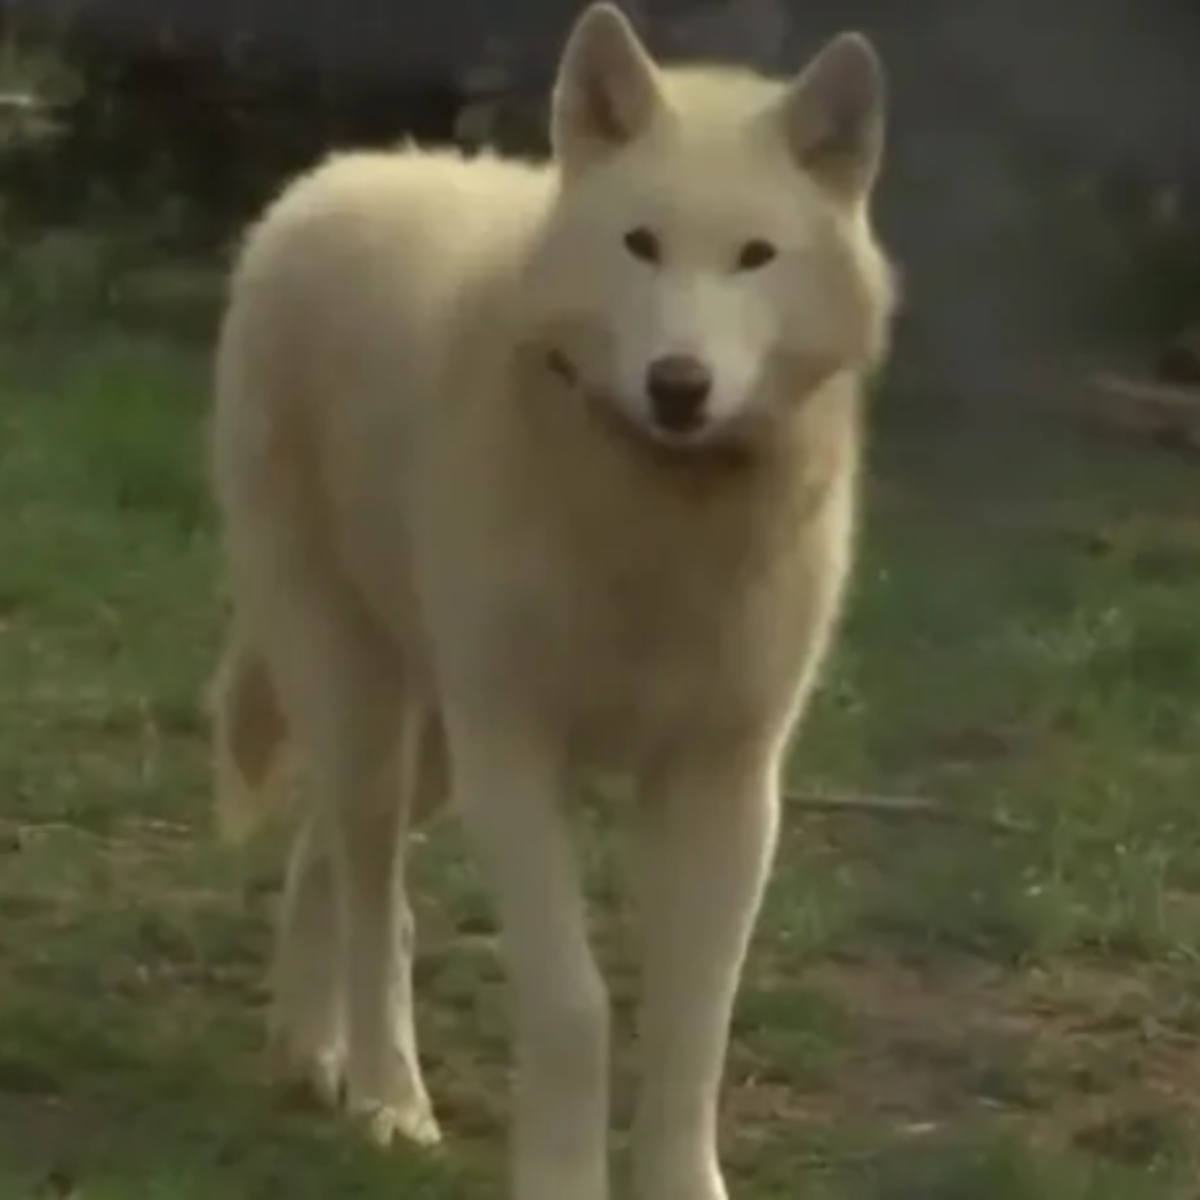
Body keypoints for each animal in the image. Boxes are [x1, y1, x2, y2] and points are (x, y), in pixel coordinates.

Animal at [211, 4, 897, 1195]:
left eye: (755, 256)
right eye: (641, 244)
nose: (678, 385)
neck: (661, 516)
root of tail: (327, 182)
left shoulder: (728, 784)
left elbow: (693, 1022)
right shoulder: (517, 759)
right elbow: (576, 1005)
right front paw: (562, 1178)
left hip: (429, 751)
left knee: (331, 858)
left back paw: (309, 1054)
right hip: (374, 711)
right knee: (376, 889)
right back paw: (386, 1095)